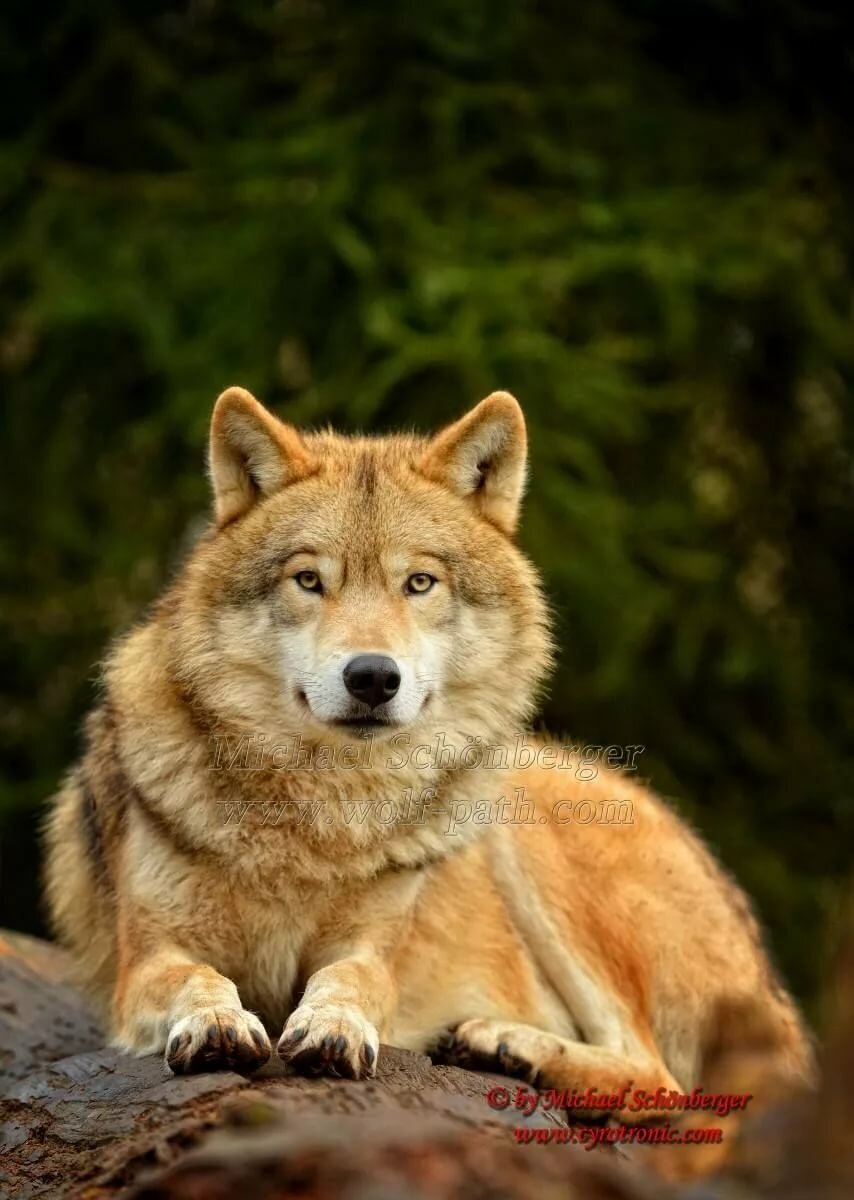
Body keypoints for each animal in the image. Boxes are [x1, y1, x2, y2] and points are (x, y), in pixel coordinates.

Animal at [44, 387, 812, 1111]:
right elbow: (197, 978)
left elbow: (350, 978)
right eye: (308, 580)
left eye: (419, 582)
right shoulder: (144, 960)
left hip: (524, 836)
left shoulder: (374, 948)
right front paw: (217, 1023)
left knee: (664, 1083)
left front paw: (334, 1027)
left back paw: (504, 1045)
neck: (321, 822)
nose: (372, 677)